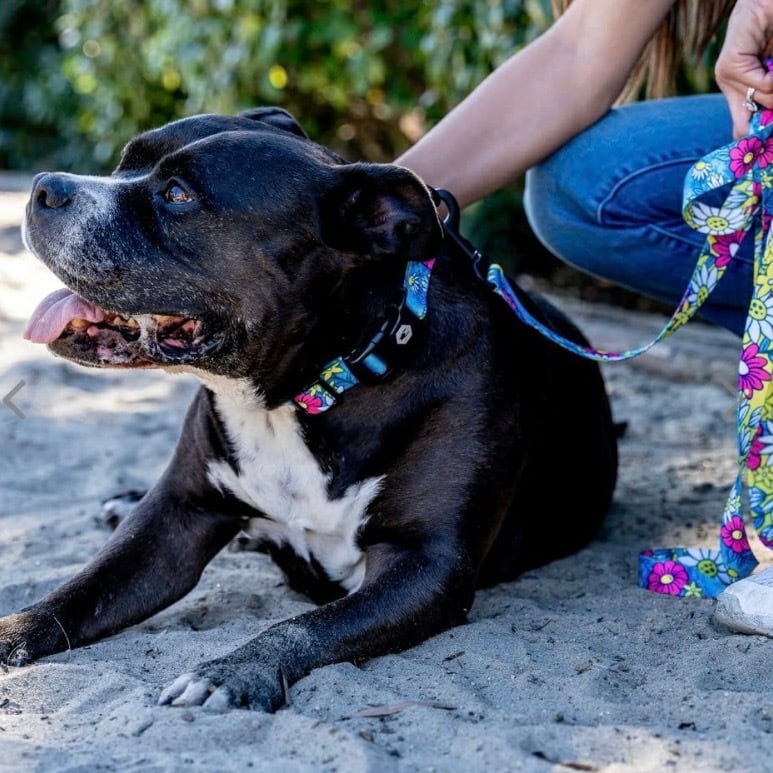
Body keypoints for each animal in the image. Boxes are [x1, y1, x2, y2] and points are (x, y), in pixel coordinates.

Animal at [2, 107, 618, 711]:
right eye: (125, 162)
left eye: (177, 195)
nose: (44, 186)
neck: (302, 393)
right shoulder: (175, 518)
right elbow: (78, 591)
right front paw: (13, 630)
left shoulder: (426, 564)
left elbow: (303, 627)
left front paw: (231, 671)